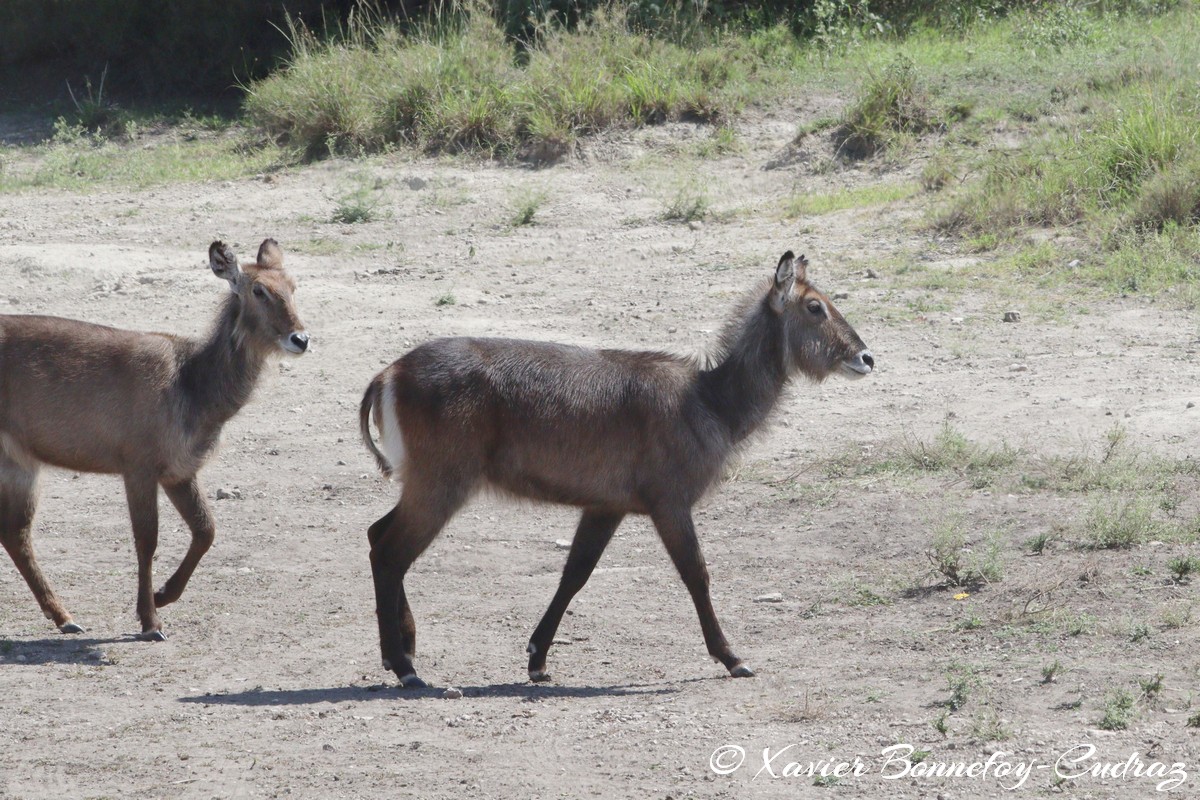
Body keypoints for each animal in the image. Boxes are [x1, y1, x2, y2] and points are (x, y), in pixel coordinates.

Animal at [2, 241, 309, 642]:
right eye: (259, 290)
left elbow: (206, 530)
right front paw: (150, 621)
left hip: (20, 461)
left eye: (293, 285)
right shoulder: (139, 466)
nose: (300, 339)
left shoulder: (179, 470)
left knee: (16, 533)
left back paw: (66, 617)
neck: (191, 387)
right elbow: (147, 540)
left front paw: (163, 595)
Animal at [357, 251, 873, 690]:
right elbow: (697, 573)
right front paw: (733, 658)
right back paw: (405, 667)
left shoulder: (605, 506)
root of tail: (388, 374)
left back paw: (400, 650)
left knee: (377, 534)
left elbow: (575, 574)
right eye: (815, 307)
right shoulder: (670, 503)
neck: (710, 401)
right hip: (441, 484)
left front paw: (537, 659)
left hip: (425, 484)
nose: (867, 357)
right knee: (389, 552)